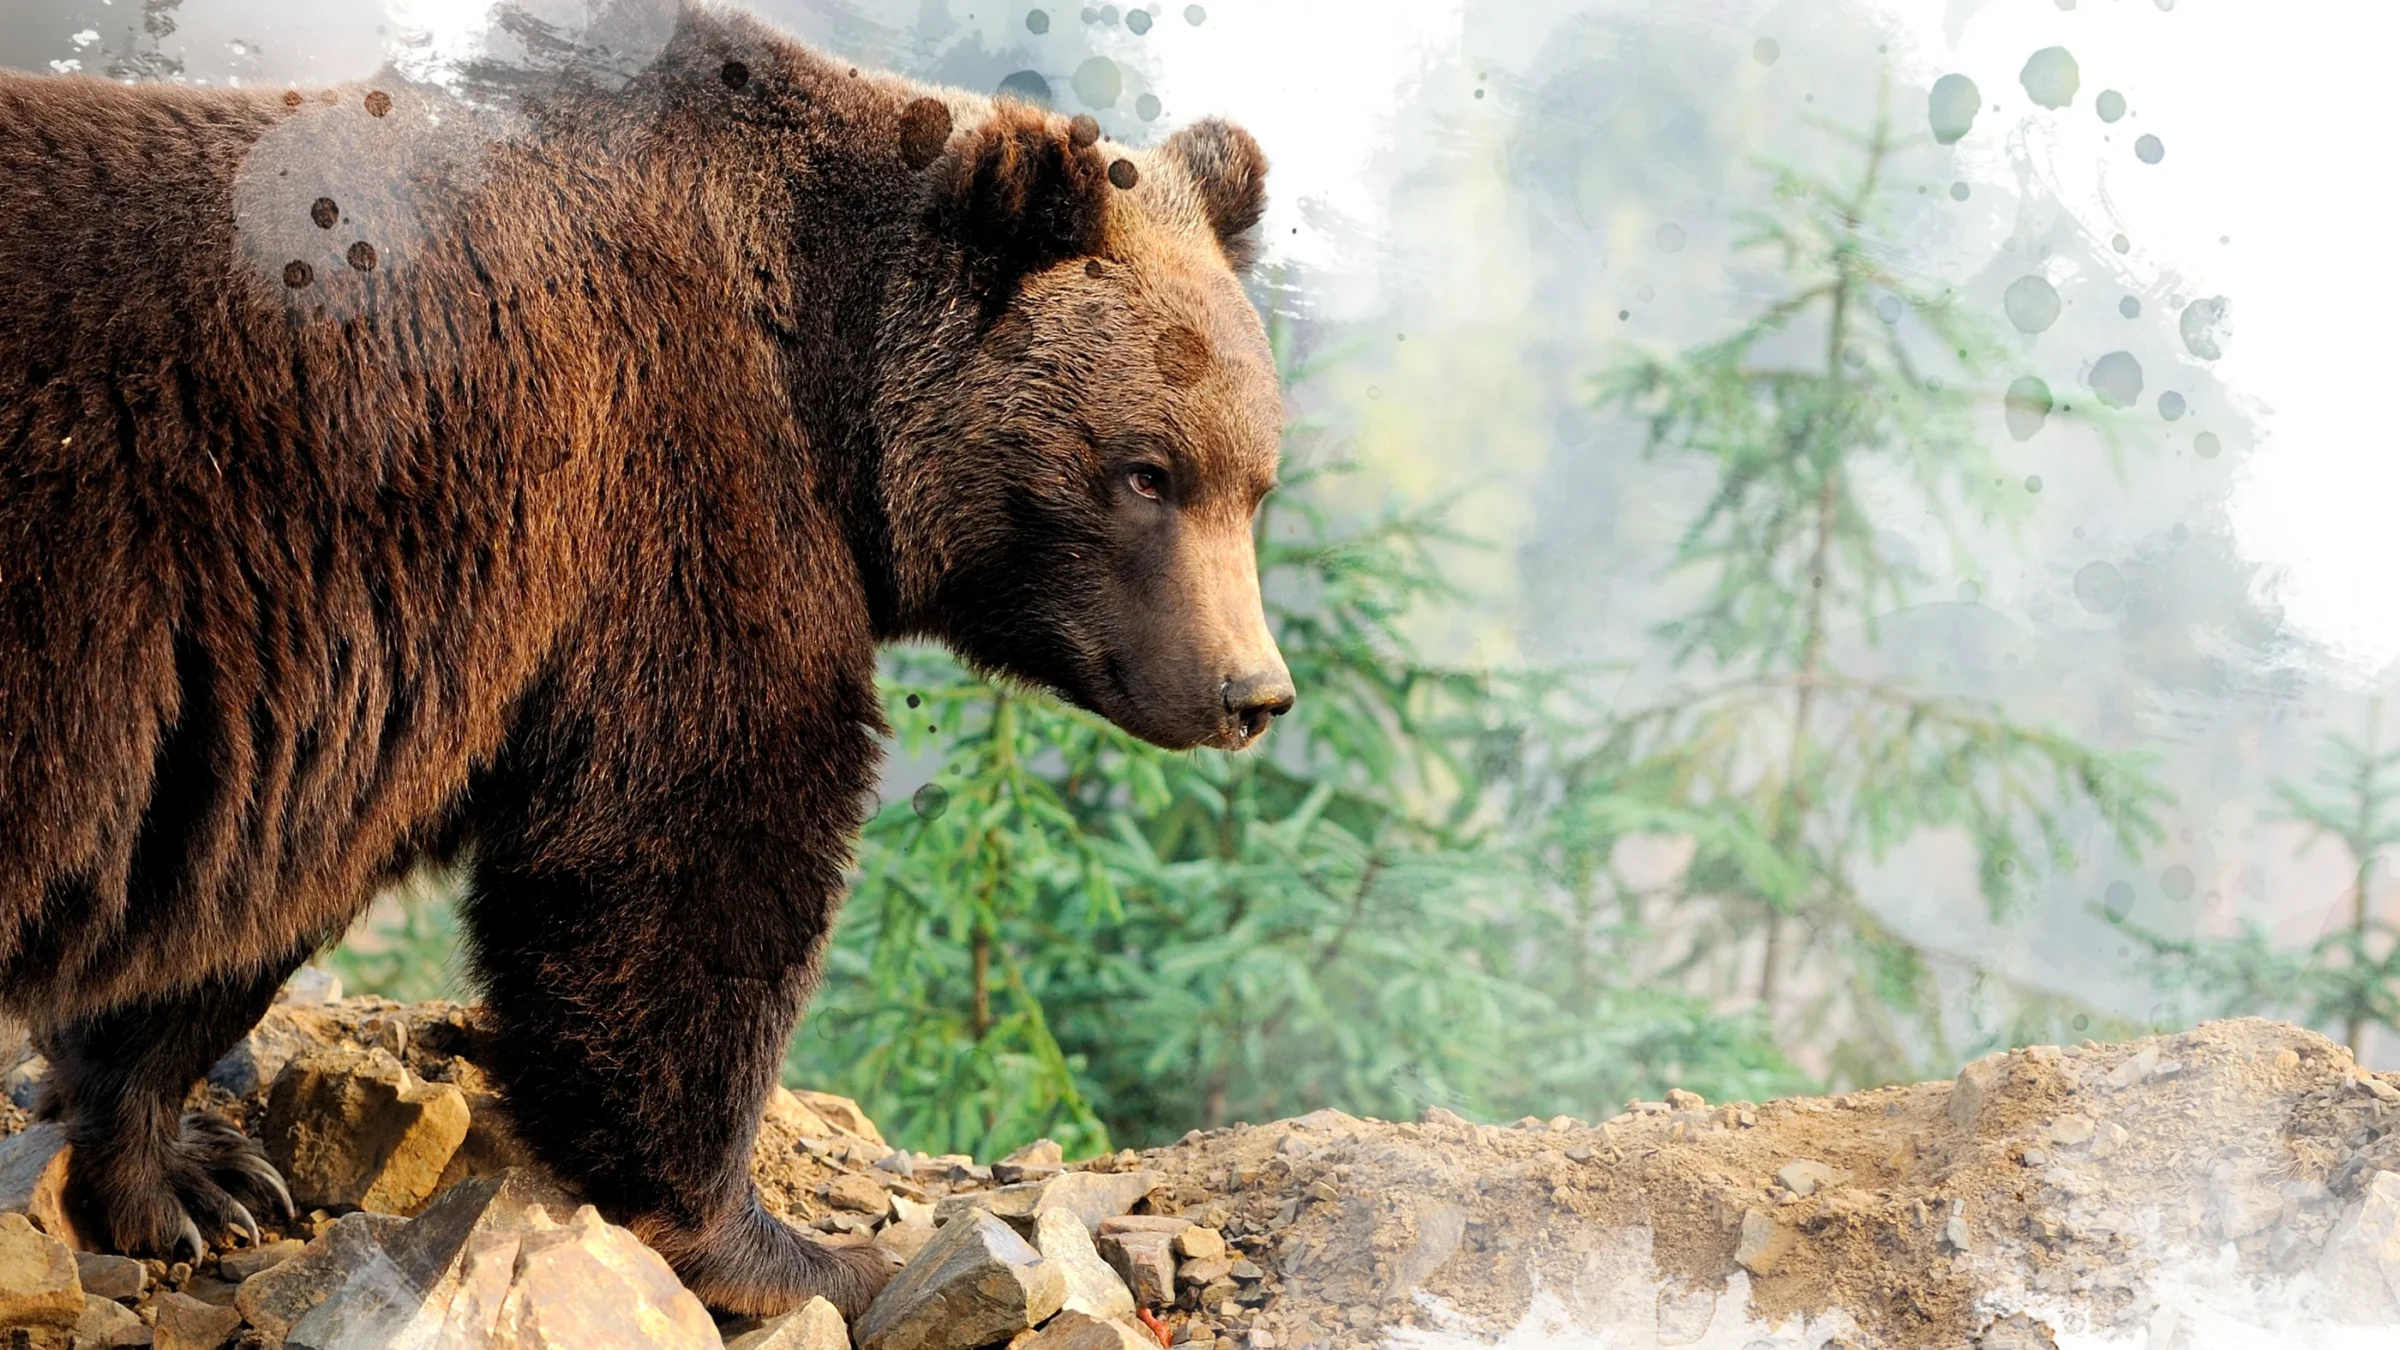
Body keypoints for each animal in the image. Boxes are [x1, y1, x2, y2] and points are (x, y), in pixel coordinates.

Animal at [0, 2, 1296, 1316]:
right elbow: (686, 850)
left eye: (1256, 482)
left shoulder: (336, 695)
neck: (831, 382)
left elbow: (237, 896)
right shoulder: (664, 499)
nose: (1252, 692)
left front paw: (193, 1175)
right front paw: (784, 1246)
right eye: (1145, 472)